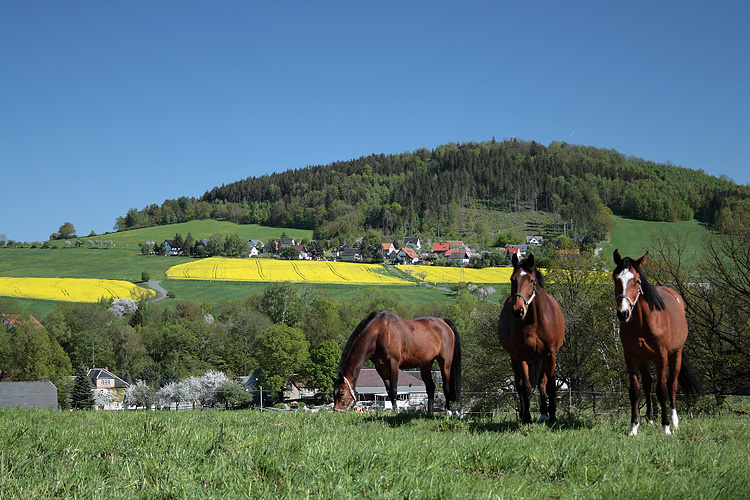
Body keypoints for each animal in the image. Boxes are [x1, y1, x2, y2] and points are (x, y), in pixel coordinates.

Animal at [334, 308, 464, 414]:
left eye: (341, 393)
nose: (336, 411)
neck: (379, 333)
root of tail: (443, 322)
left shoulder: (393, 364)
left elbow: (394, 389)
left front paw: (396, 411)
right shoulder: (381, 367)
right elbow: (388, 390)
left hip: (445, 363)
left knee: (446, 386)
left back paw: (448, 412)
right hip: (426, 364)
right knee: (430, 387)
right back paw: (430, 413)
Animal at [496, 256, 568, 424]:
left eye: (531, 280)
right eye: (512, 279)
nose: (518, 310)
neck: (535, 321)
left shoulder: (550, 355)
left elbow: (549, 386)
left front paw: (552, 416)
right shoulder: (521, 356)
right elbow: (526, 387)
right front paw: (527, 418)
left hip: (541, 358)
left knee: (541, 383)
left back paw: (543, 413)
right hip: (515, 358)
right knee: (519, 384)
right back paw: (523, 413)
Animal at [612, 250, 704, 434]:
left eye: (637, 280)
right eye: (616, 279)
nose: (623, 313)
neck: (644, 322)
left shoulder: (661, 357)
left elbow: (663, 391)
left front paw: (666, 427)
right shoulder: (631, 357)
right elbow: (635, 391)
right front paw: (634, 427)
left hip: (675, 355)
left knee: (672, 385)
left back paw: (674, 421)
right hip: (644, 359)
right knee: (648, 384)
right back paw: (650, 419)